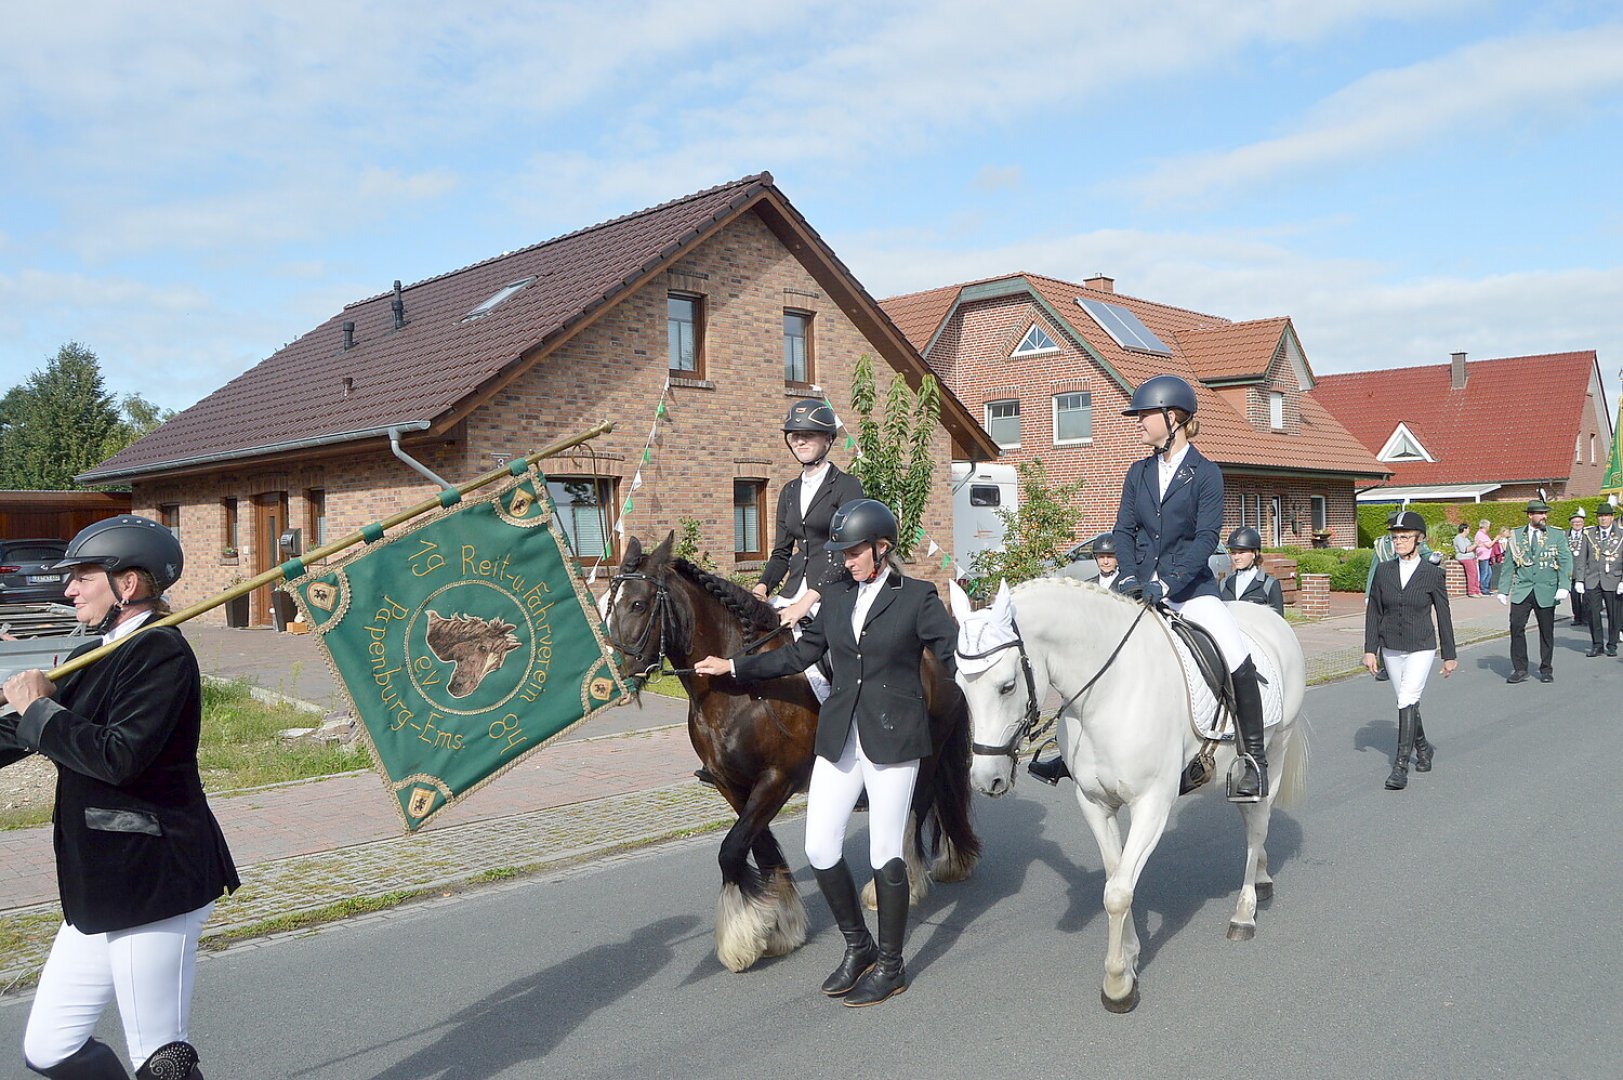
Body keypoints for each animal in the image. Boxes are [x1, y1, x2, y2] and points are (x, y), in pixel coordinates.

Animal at [607, 529, 973, 967]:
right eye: (608, 604)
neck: (739, 688)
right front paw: (779, 927)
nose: (619, 679)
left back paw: (907, 884)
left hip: (927, 753)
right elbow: (760, 849)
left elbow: (732, 850)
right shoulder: (732, 784)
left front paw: (742, 936)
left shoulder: (776, 780)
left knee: (916, 809)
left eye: (638, 604)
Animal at [947, 578, 1304, 1006]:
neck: (1108, 692)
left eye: (1007, 686)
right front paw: (1131, 956)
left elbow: (1117, 892)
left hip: (1276, 751)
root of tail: (1270, 617)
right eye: (959, 686)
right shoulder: (1095, 804)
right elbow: (1116, 878)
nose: (987, 780)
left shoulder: (1151, 806)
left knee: (1257, 827)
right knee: (1252, 824)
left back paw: (1244, 913)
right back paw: (1263, 880)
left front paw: (1117, 984)